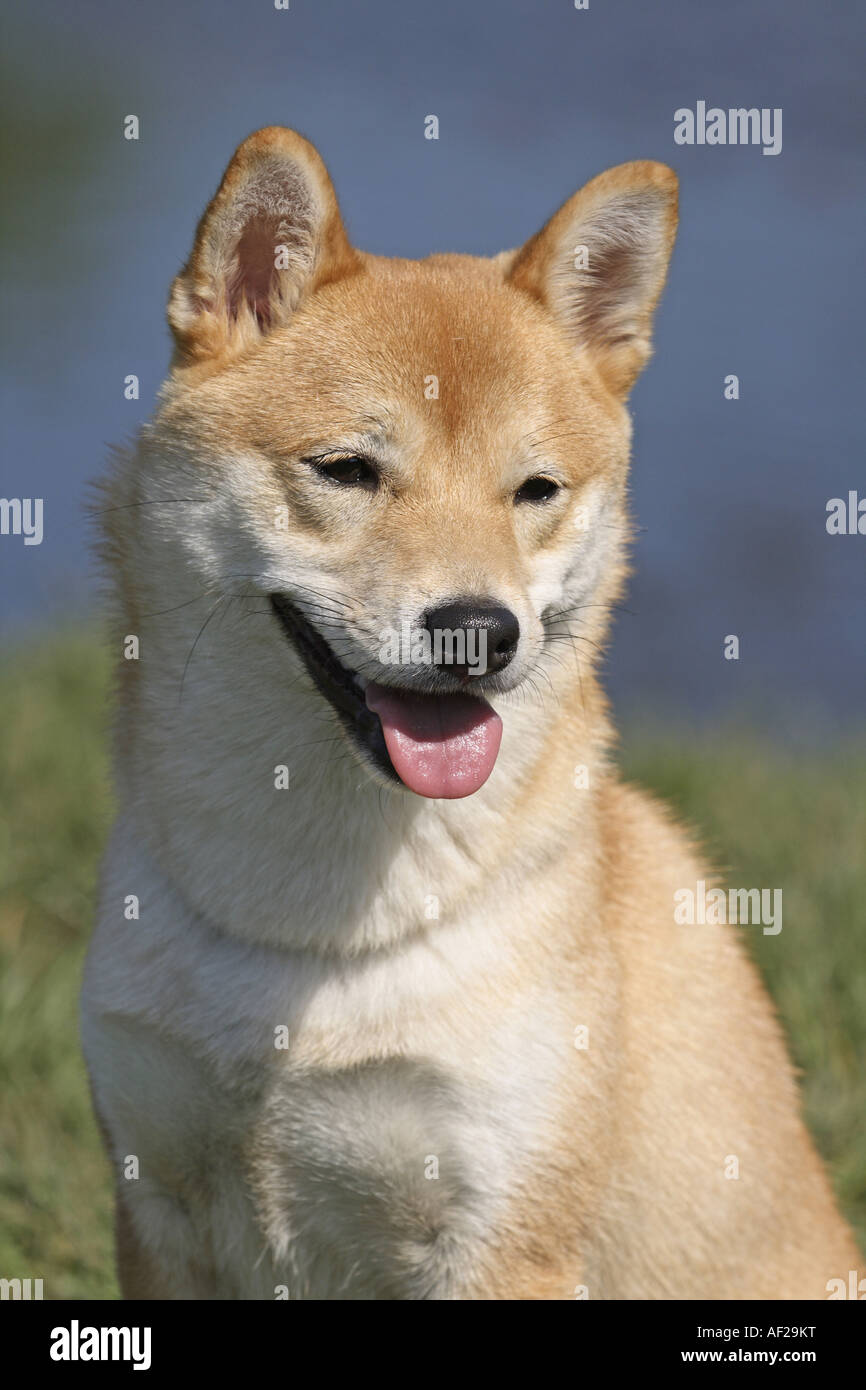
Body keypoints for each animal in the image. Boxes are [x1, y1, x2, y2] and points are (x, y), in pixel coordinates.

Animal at [79, 125, 856, 1295]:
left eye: (534, 491)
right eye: (347, 469)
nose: (478, 630)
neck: (306, 932)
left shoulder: (503, 1229)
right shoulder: (155, 1197)